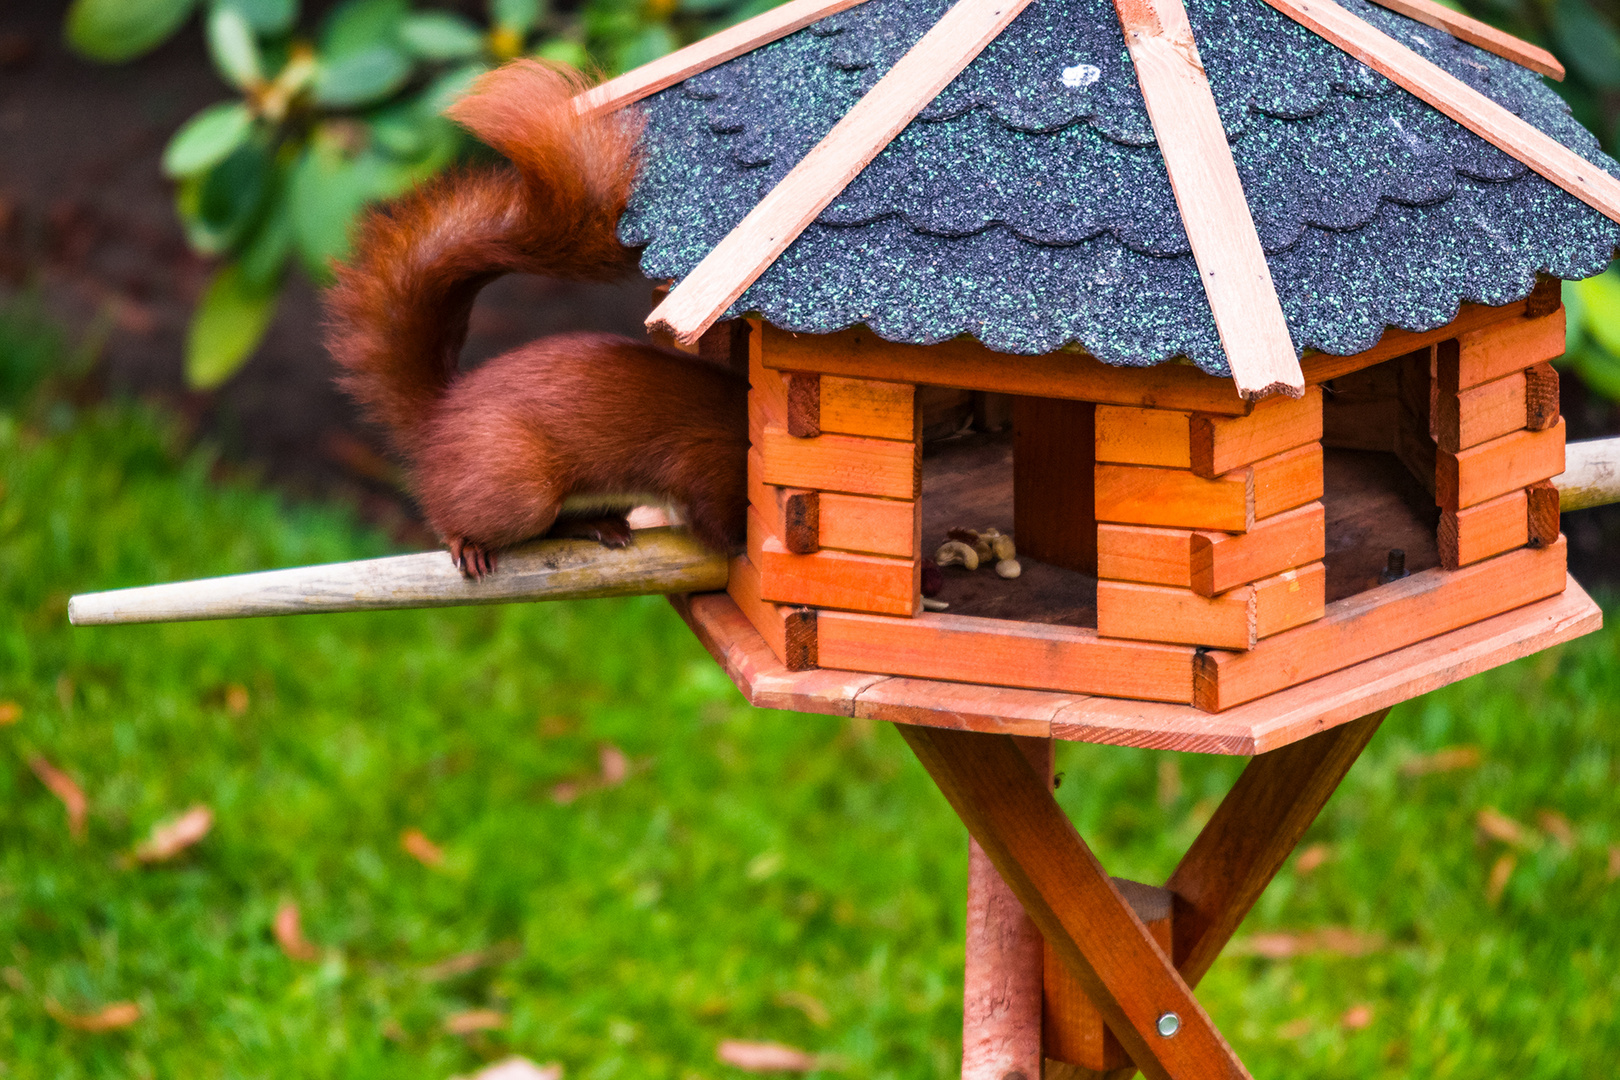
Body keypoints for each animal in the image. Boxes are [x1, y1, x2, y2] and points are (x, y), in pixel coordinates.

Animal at [324, 62, 751, 579]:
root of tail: (439, 418)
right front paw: (748, 549)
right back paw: (469, 545)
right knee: (463, 516)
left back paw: (602, 526)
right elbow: (715, 521)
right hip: (517, 487)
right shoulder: (711, 461)